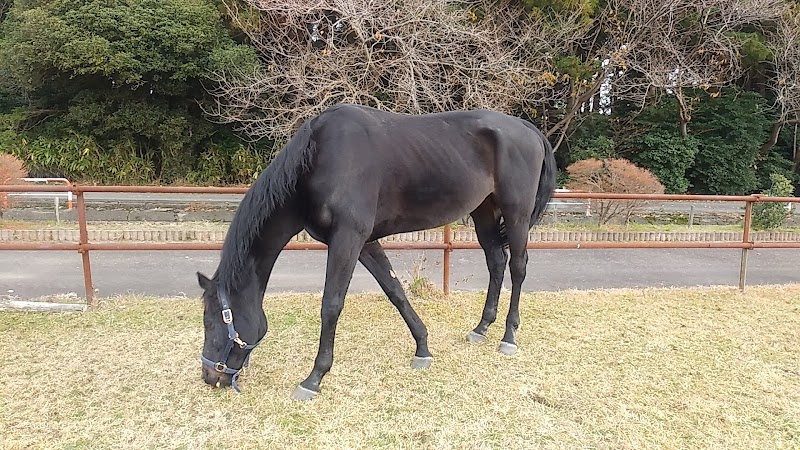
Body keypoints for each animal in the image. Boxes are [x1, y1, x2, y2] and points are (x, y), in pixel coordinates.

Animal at [197, 103, 556, 400]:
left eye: (212, 320)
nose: (210, 376)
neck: (319, 160)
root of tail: (528, 128)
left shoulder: (348, 238)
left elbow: (331, 305)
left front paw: (314, 378)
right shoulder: (365, 242)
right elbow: (394, 290)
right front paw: (422, 348)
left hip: (516, 212)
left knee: (518, 267)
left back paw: (508, 336)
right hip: (483, 210)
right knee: (496, 262)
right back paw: (481, 328)